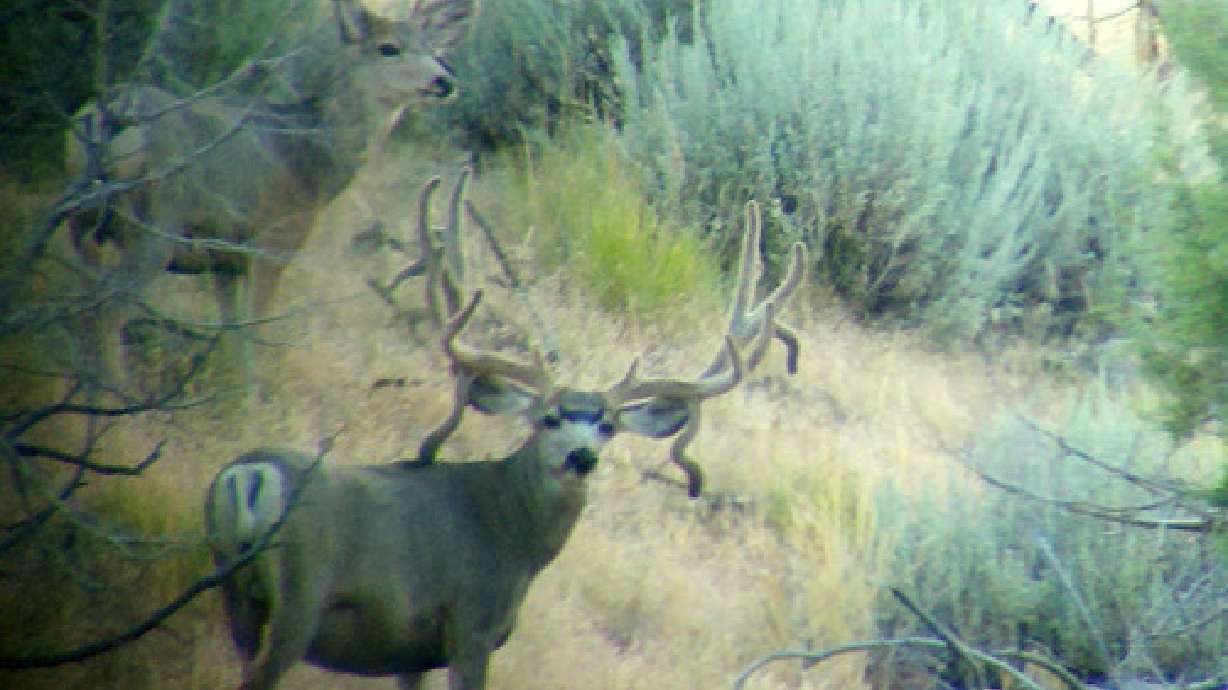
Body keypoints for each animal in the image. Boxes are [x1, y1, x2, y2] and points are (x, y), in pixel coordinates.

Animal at [63, 0, 478, 384]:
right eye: (388, 47)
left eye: (434, 49)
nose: (444, 81)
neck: (311, 158)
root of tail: (104, 117)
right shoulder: (276, 241)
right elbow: (256, 336)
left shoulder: (226, 259)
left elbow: (233, 338)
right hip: (156, 225)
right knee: (106, 310)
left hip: (80, 218)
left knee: (81, 305)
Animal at [203, 174, 807, 690]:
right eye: (549, 417)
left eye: (608, 425)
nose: (582, 457)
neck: (510, 537)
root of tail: (250, 474)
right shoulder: (472, 621)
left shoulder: (409, 650)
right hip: (301, 596)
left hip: (237, 596)